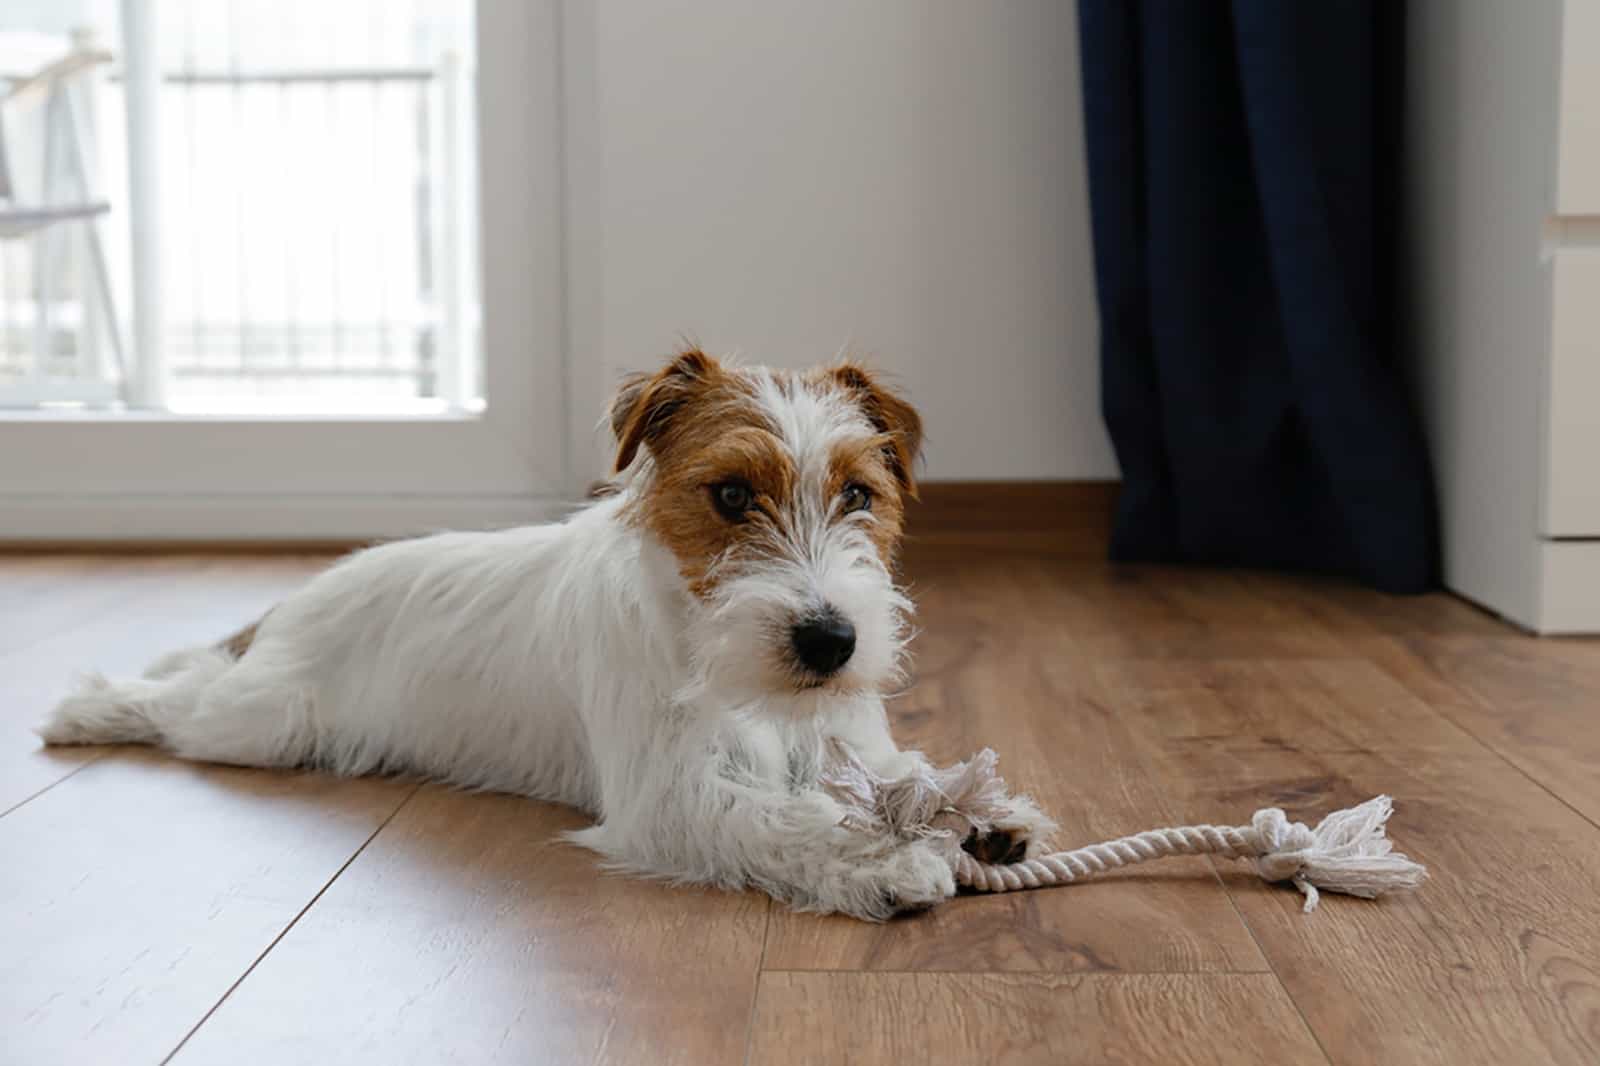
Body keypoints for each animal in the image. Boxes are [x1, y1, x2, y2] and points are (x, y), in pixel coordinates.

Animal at [34, 347, 1049, 915]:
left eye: (859, 496)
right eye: (729, 495)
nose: (831, 642)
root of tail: (304, 595)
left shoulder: (847, 741)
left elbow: (899, 774)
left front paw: (977, 815)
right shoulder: (671, 797)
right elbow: (791, 819)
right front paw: (887, 860)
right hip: (267, 720)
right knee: (180, 697)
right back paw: (87, 710)